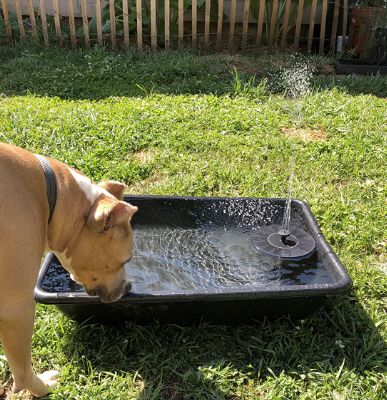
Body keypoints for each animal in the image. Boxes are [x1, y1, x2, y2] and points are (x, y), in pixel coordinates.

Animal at [0, 143, 139, 396]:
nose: (129, 286)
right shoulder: (16, 309)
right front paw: (42, 387)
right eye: (126, 260)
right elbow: (23, 371)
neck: (48, 197)